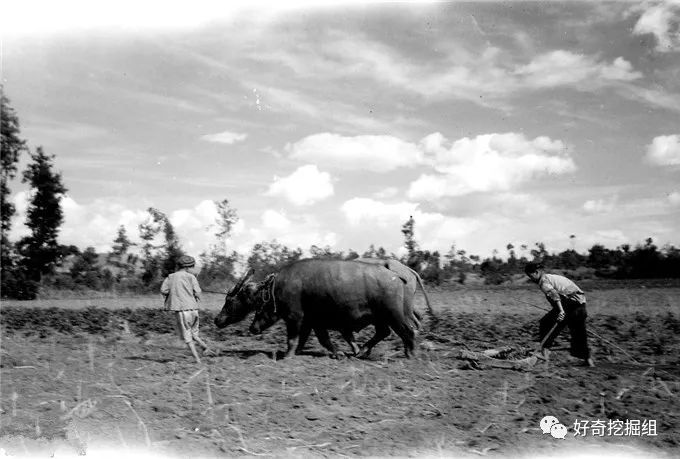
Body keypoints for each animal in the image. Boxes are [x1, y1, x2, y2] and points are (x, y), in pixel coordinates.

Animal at [218, 258, 420, 360]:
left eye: (230, 300)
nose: (217, 320)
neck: (277, 286)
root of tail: (396, 275)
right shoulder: (312, 322)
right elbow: (318, 340)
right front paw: (336, 353)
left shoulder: (295, 318)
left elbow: (293, 339)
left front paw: (287, 356)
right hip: (381, 318)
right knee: (383, 332)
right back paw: (362, 351)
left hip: (394, 315)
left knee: (407, 331)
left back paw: (410, 353)